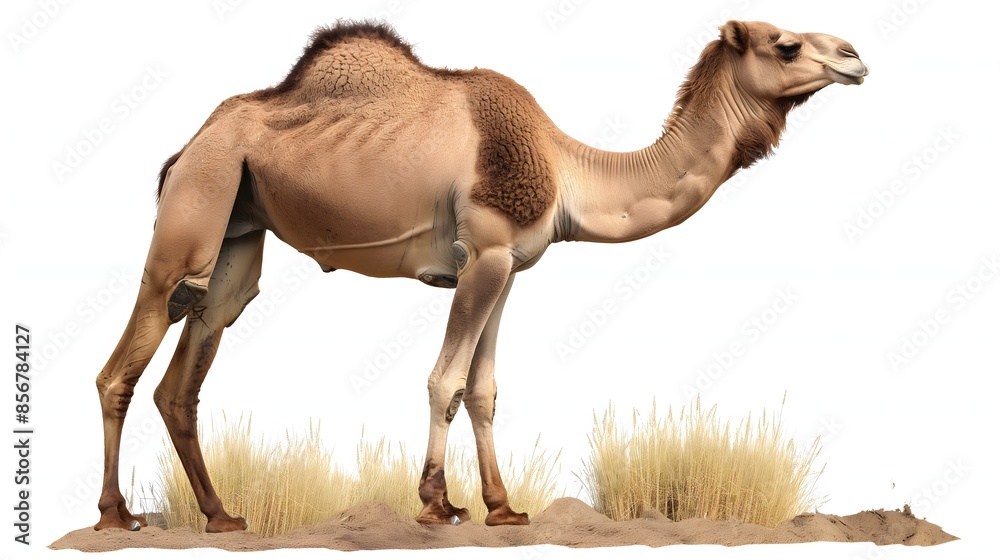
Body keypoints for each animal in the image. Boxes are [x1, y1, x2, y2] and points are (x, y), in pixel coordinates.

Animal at [93, 20, 867, 532]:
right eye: (786, 44)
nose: (855, 57)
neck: (566, 169)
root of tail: (184, 149)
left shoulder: (510, 266)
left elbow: (485, 390)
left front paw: (504, 507)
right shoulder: (484, 255)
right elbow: (447, 380)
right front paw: (438, 503)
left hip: (237, 233)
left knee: (187, 365)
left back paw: (222, 517)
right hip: (196, 207)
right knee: (124, 363)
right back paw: (114, 517)